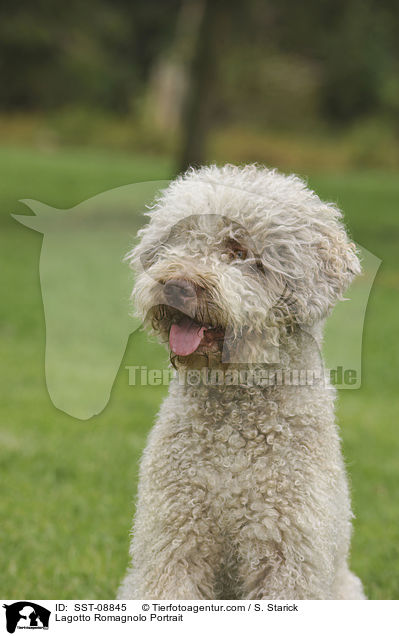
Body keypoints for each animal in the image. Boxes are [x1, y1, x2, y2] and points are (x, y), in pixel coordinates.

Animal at [118, 164, 366, 600]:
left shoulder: (288, 558)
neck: (234, 427)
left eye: (237, 251)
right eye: (176, 243)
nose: (176, 285)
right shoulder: (173, 541)